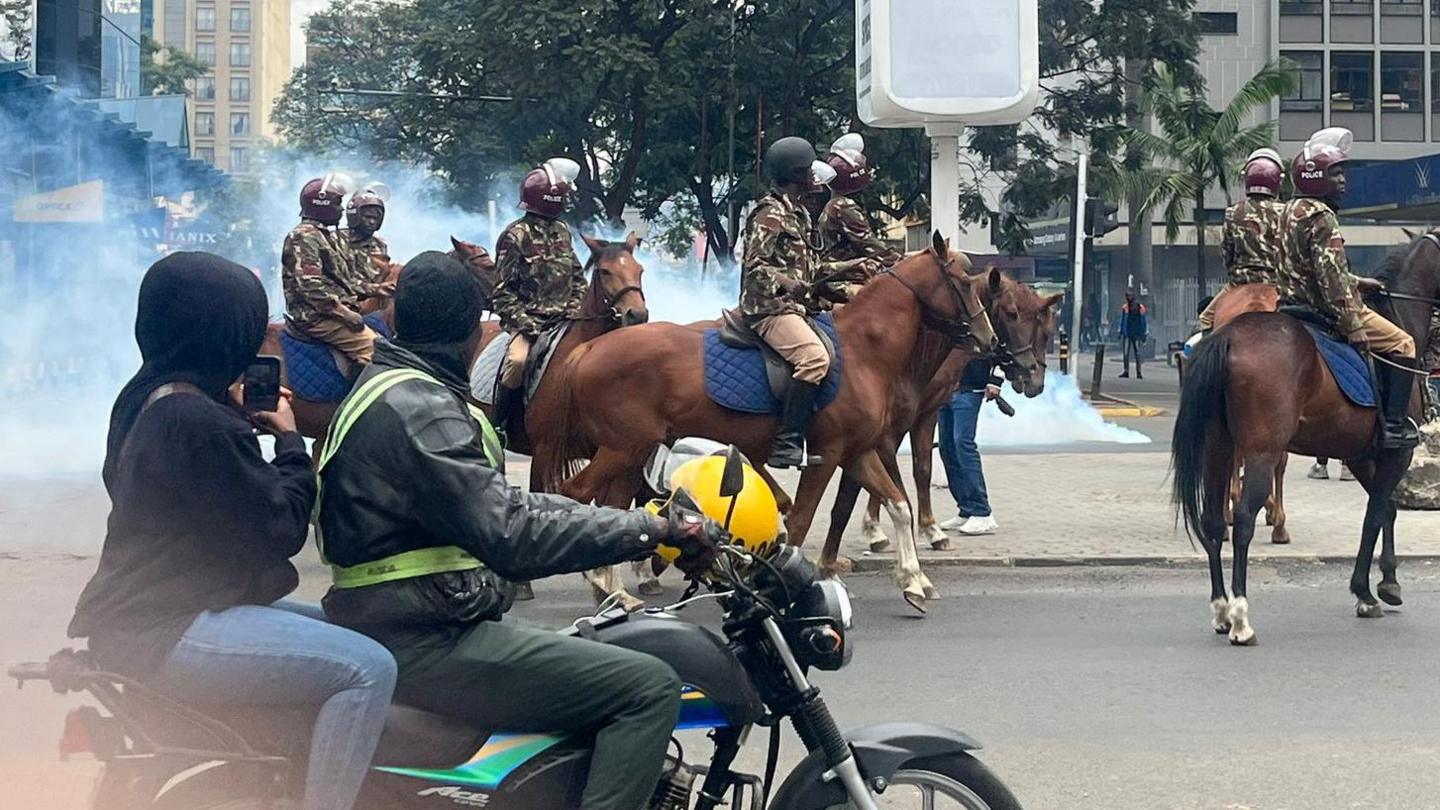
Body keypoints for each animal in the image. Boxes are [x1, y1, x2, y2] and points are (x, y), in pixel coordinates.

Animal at [535, 230, 996, 608]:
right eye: (963, 283)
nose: (988, 339)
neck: (863, 348)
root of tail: (591, 348)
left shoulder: (858, 452)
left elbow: (898, 505)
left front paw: (913, 580)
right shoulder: (827, 455)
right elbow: (801, 520)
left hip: (633, 451)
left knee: (614, 505)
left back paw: (613, 588)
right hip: (622, 449)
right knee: (579, 494)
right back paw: (601, 582)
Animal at [1169, 233, 1440, 642]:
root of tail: (1230, 335)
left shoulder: (1360, 454)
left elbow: (1386, 511)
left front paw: (1384, 584)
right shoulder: (1395, 453)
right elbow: (1375, 514)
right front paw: (1367, 591)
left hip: (1218, 447)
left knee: (1214, 520)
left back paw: (1220, 610)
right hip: (1261, 450)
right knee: (1244, 518)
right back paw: (1241, 617)